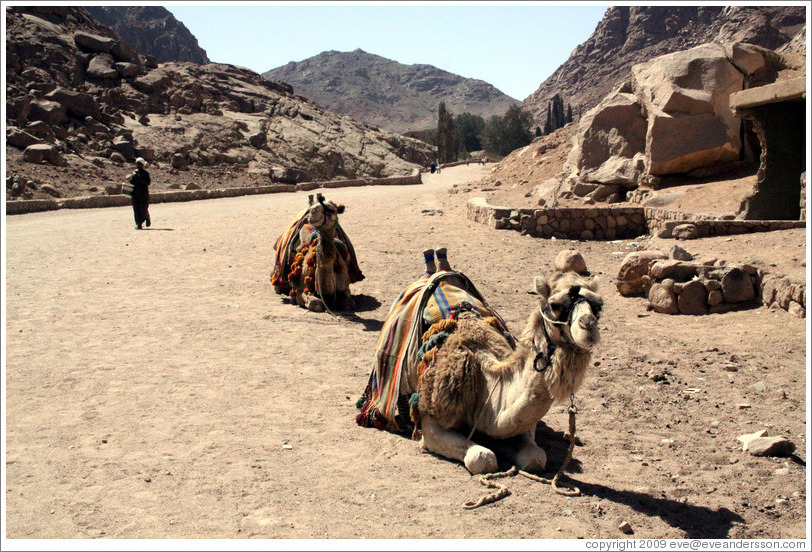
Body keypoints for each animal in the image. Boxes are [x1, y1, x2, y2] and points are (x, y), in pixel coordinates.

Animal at [356, 249, 604, 474]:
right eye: (554, 304)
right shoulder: (431, 423)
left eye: (599, 306)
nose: (588, 326)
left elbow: (535, 458)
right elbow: (483, 458)